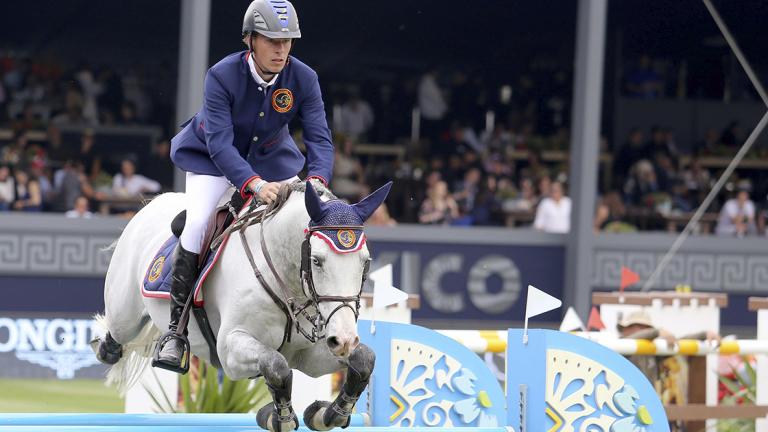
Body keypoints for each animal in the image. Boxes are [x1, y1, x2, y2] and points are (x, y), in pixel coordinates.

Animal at [91, 181, 390, 430]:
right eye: (316, 260)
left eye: (365, 262)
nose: (345, 340)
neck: (285, 279)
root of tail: (154, 203)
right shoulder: (230, 350)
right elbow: (275, 364)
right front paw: (279, 417)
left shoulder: (310, 356)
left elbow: (364, 359)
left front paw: (328, 413)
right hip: (125, 313)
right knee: (116, 336)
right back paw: (107, 345)